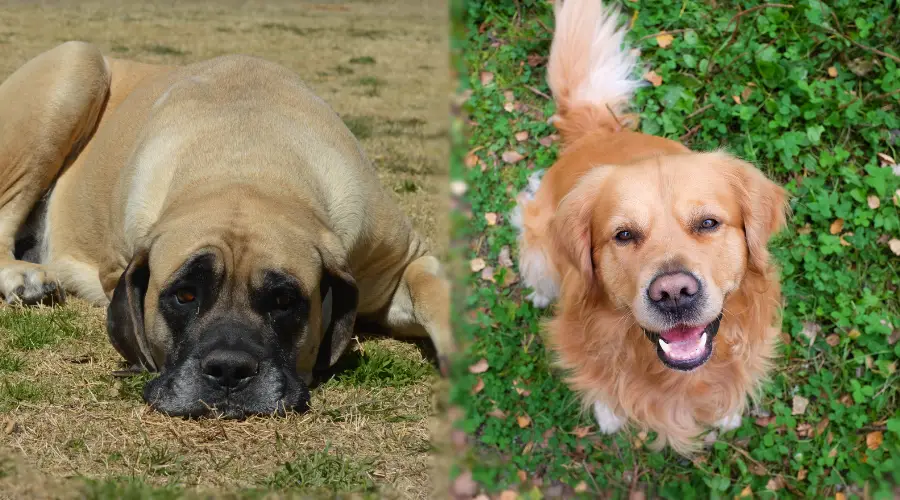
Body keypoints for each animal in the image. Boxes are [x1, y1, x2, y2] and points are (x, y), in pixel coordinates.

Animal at [0, 42, 450, 418]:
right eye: (184, 295)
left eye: (284, 300)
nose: (230, 370)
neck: (244, 163)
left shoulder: (400, 259)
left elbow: (433, 292)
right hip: (75, 66)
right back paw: (22, 276)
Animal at [510, 0, 792, 454]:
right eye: (623, 235)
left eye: (708, 223)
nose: (674, 293)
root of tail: (596, 130)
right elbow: (602, 387)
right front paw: (609, 414)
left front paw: (729, 412)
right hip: (537, 242)